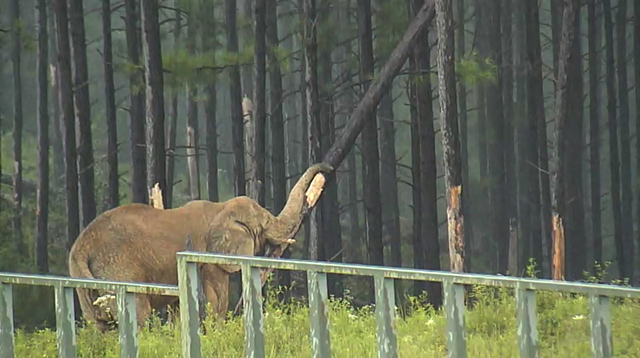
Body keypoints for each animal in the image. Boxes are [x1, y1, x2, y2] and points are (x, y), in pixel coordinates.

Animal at [67, 162, 332, 330]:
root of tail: (81, 248)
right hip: (119, 270)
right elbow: (218, 299)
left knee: (100, 326)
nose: (328, 168)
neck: (221, 208)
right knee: (137, 315)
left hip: (84, 281)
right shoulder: (210, 258)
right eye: (263, 224)